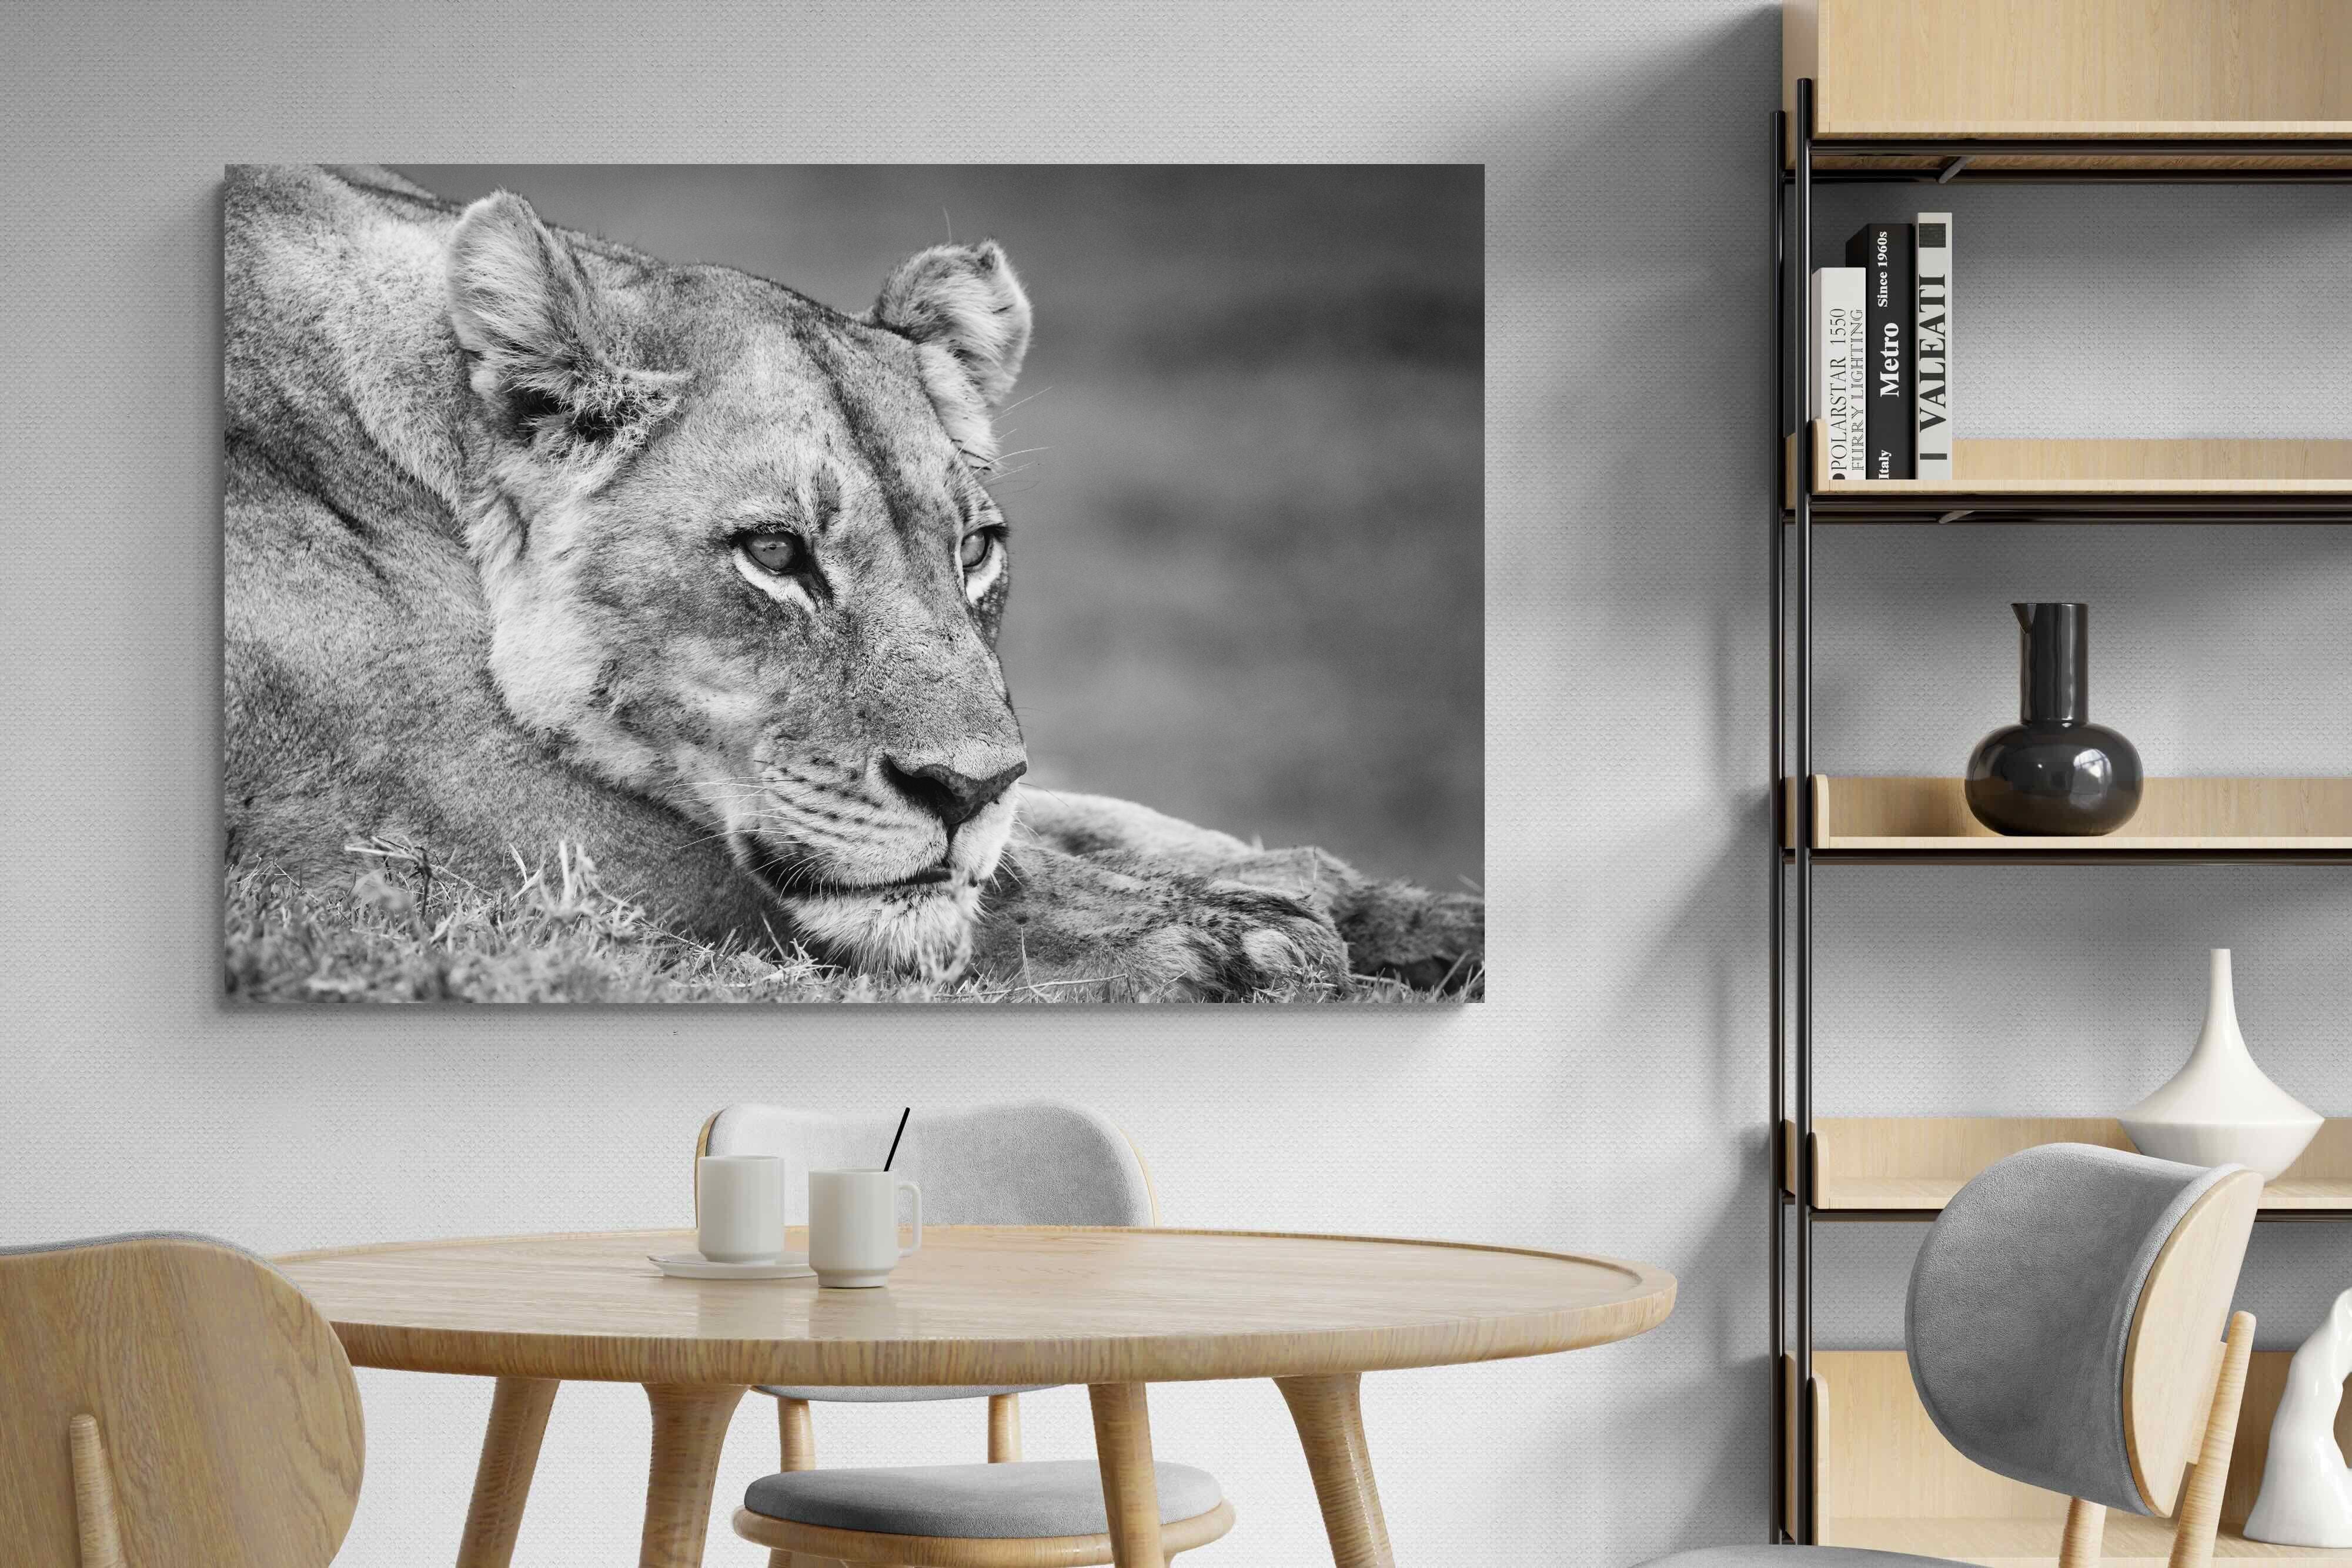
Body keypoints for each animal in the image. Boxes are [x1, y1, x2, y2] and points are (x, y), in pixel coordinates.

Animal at [224, 165, 1481, 999]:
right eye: (776, 553)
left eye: (974, 549)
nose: (963, 792)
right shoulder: (449, 824)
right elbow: (957, 886)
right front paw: (1241, 939)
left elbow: (1097, 820)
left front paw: (1398, 907)